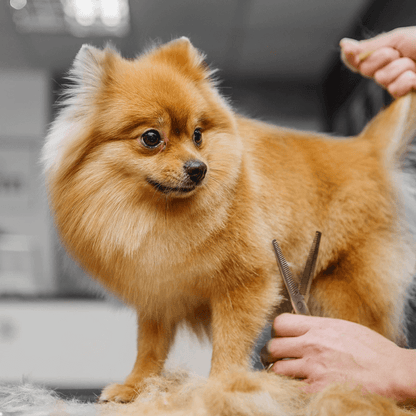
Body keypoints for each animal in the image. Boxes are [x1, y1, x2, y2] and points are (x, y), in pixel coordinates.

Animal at [42, 37, 416, 402]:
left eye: (197, 135)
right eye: (151, 138)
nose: (198, 168)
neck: (159, 213)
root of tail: (367, 148)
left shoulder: (245, 283)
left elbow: (230, 342)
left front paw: (220, 387)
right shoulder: (158, 292)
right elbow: (149, 347)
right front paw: (135, 386)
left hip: (345, 288)